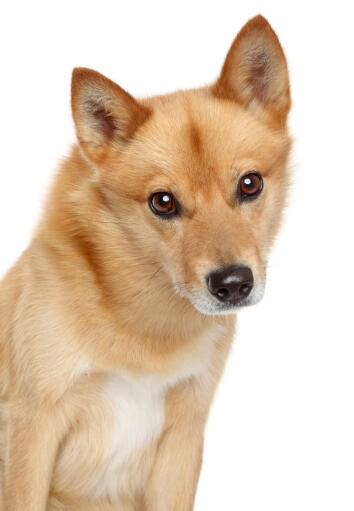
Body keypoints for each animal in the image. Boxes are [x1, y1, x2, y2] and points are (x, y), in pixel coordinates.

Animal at [0, 14, 292, 510]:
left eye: (250, 184)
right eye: (163, 202)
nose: (233, 284)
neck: (142, 319)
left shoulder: (182, 436)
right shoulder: (32, 425)